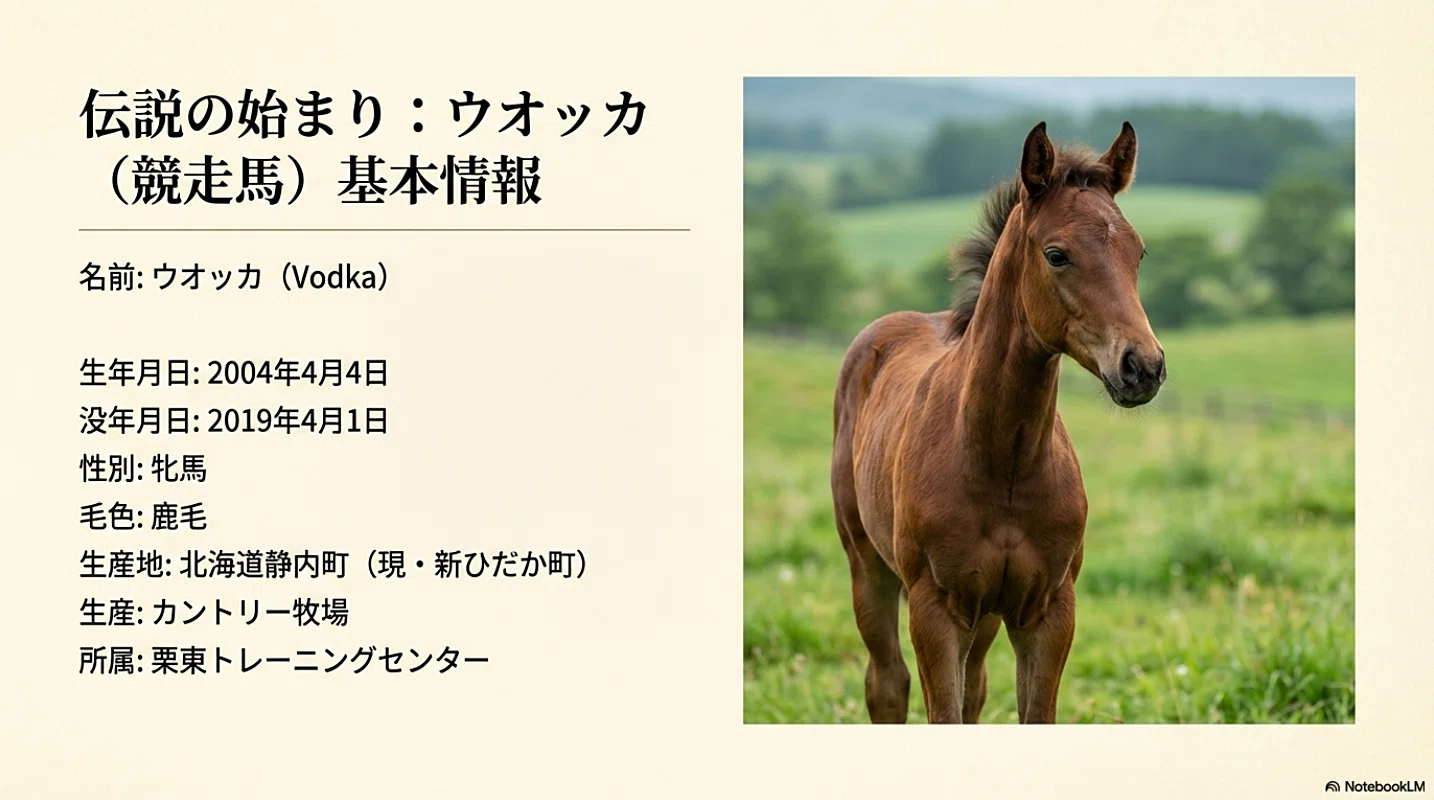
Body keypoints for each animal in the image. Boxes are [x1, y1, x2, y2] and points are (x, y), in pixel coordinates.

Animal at [830, 121, 1165, 724]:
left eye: (1139, 251)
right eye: (1056, 254)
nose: (1143, 366)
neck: (1003, 462)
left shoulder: (1049, 608)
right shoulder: (935, 608)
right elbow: (939, 709)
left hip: (984, 613)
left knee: (975, 687)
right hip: (868, 564)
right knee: (887, 683)